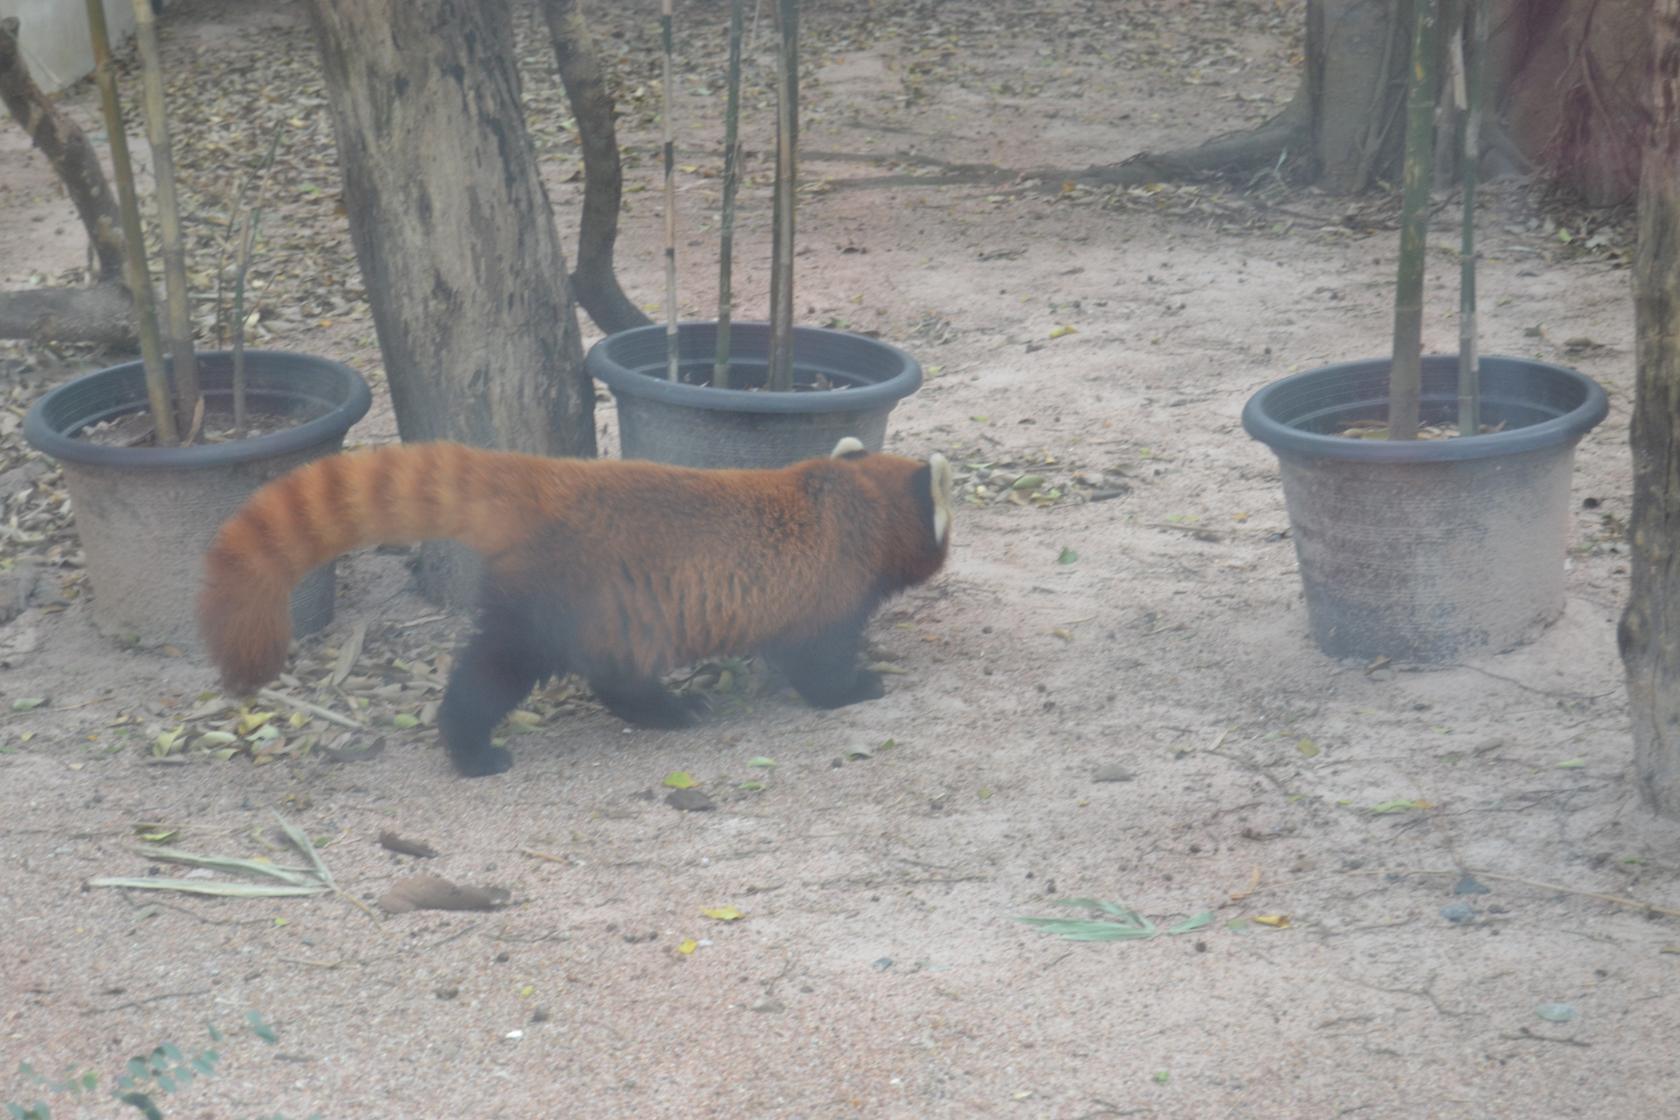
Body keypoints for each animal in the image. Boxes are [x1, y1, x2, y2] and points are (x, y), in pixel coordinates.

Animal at [199, 436, 947, 779]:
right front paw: (859, 686)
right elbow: (816, 663)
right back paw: (475, 746)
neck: (856, 502)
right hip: (562, 597)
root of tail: (552, 480)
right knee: (498, 669)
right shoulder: (827, 588)